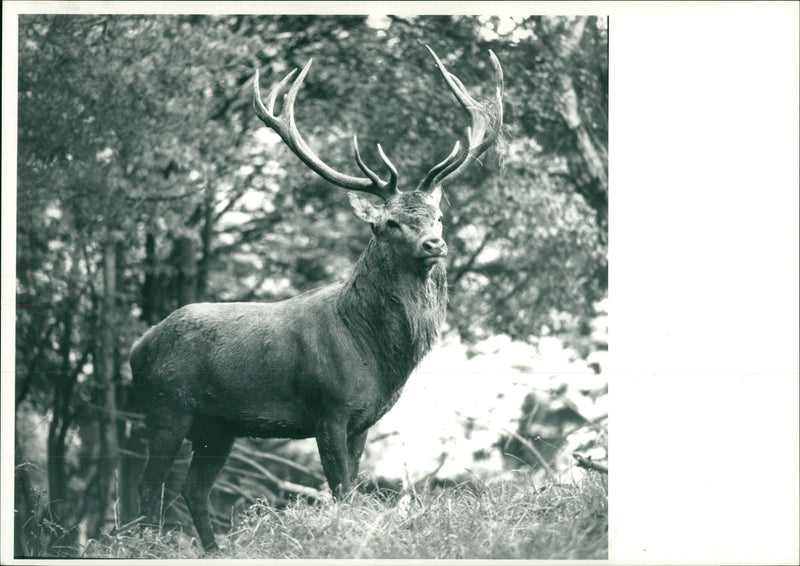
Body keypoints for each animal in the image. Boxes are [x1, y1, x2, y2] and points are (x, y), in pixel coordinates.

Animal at [128, 46, 504, 552]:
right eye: (390, 223)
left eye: (437, 216)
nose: (434, 244)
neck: (374, 354)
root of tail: (138, 347)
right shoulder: (327, 409)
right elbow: (341, 491)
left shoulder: (363, 421)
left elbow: (350, 487)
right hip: (166, 407)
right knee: (149, 488)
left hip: (218, 424)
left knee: (194, 489)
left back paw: (215, 550)